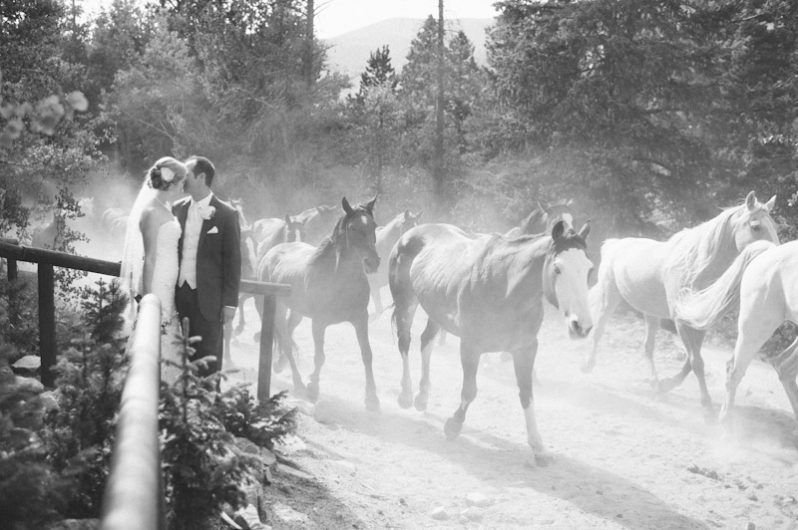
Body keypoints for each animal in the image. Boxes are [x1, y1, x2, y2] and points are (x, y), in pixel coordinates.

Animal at [256, 196, 382, 410]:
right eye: (352, 228)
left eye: (374, 226)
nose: (372, 262)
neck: (338, 279)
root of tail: (272, 252)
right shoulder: (319, 323)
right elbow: (320, 356)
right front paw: (313, 388)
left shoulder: (360, 319)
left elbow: (367, 354)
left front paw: (372, 399)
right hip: (277, 309)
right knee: (287, 343)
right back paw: (298, 384)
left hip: (296, 312)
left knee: (289, 331)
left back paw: (280, 364)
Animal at [390, 219, 592, 462]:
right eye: (557, 268)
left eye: (589, 269)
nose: (582, 325)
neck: (505, 289)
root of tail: (413, 231)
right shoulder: (470, 345)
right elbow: (470, 391)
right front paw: (453, 426)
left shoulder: (525, 348)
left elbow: (527, 394)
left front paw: (538, 446)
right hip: (406, 302)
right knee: (405, 342)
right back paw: (406, 394)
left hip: (436, 311)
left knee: (426, 343)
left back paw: (422, 397)